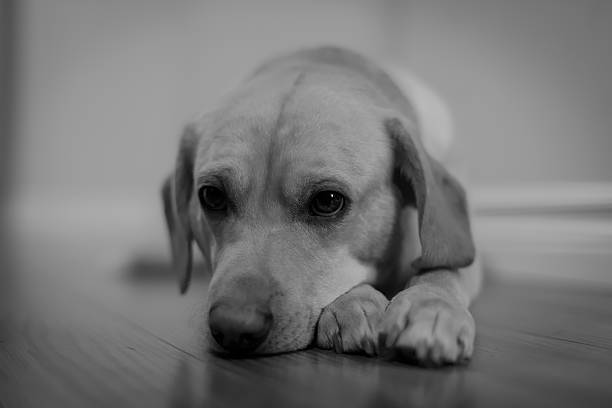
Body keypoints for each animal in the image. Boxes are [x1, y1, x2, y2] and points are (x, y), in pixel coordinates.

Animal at [163, 46, 482, 364]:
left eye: (328, 201)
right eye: (212, 196)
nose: (233, 328)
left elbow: (445, 268)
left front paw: (431, 307)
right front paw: (354, 305)